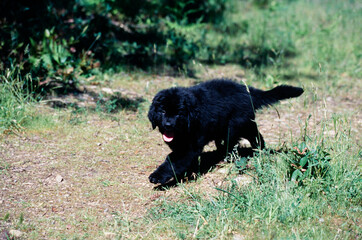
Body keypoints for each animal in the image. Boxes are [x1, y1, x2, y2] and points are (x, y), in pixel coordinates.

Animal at [147, 79, 302, 185]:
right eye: (163, 111)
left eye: (179, 114)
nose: (168, 125)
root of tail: (248, 91)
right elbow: (176, 160)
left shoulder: (189, 147)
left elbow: (173, 160)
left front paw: (158, 176)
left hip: (236, 125)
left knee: (247, 137)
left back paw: (255, 151)